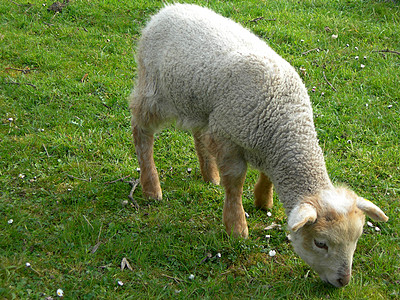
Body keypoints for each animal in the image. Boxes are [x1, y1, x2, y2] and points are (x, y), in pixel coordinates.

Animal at [130, 3, 390, 288]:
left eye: (356, 239)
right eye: (320, 243)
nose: (344, 281)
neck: (283, 122)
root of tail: (167, 10)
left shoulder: (259, 142)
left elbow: (266, 176)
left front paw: (263, 201)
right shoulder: (228, 139)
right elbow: (235, 184)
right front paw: (237, 228)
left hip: (200, 105)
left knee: (199, 134)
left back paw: (210, 175)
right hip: (154, 91)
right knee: (141, 132)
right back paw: (151, 187)